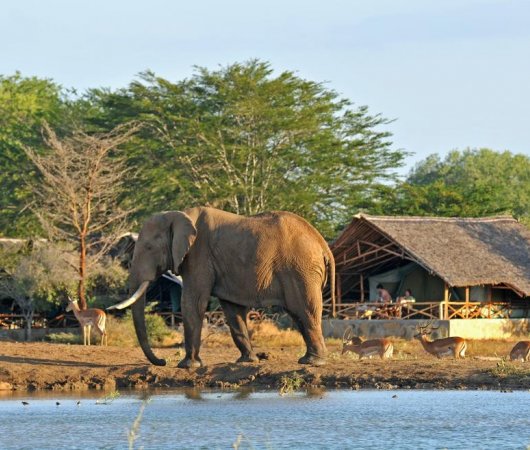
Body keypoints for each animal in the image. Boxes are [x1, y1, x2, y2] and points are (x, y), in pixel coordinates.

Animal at [107, 207, 334, 370]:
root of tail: (323, 244)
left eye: (148, 248)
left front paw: (187, 366)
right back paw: (308, 360)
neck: (178, 215)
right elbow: (232, 310)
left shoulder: (198, 255)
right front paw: (247, 361)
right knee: (299, 314)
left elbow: (193, 302)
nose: (162, 361)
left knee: (304, 311)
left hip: (301, 269)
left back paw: (313, 362)